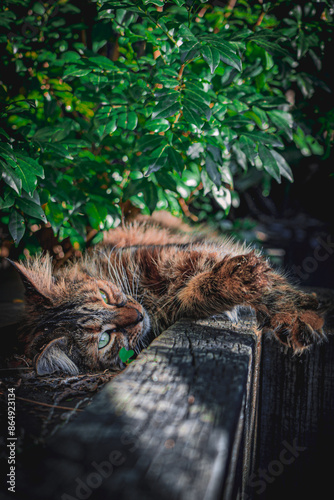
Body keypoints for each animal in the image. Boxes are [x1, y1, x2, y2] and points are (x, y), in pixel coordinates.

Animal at [7, 219, 326, 376]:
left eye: (104, 295)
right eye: (103, 340)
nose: (137, 316)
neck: (147, 299)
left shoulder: (181, 255)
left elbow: (274, 289)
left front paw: (298, 315)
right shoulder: (173, 306)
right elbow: (194, 293)